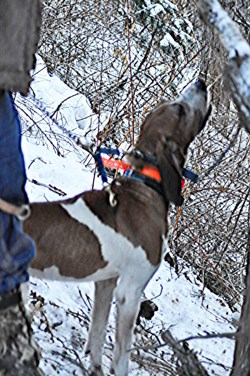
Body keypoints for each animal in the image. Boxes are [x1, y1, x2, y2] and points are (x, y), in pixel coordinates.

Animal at [23, 79, 211, 376]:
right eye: (180, 110)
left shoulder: (106, 283)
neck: (145, 187)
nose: (201, 82)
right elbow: (121, 356)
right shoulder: (130, 293)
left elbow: (97, 336)